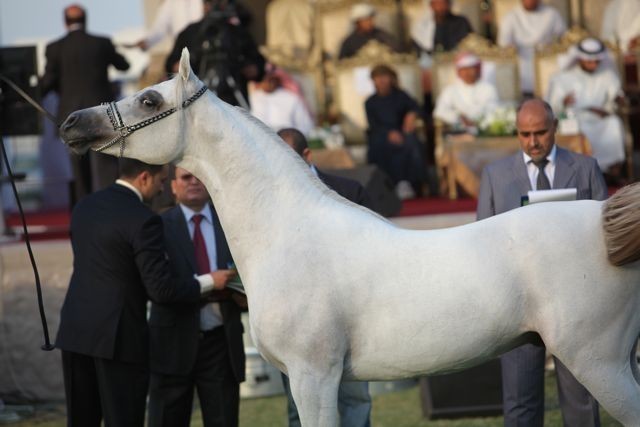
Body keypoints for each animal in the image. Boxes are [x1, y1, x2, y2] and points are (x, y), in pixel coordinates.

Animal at [59, 49, 640, 426]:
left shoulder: (314, 377)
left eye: (149, 99)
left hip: (598, 362)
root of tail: (606, 218)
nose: (70, 122)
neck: (291, 234)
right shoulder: (331, 382)